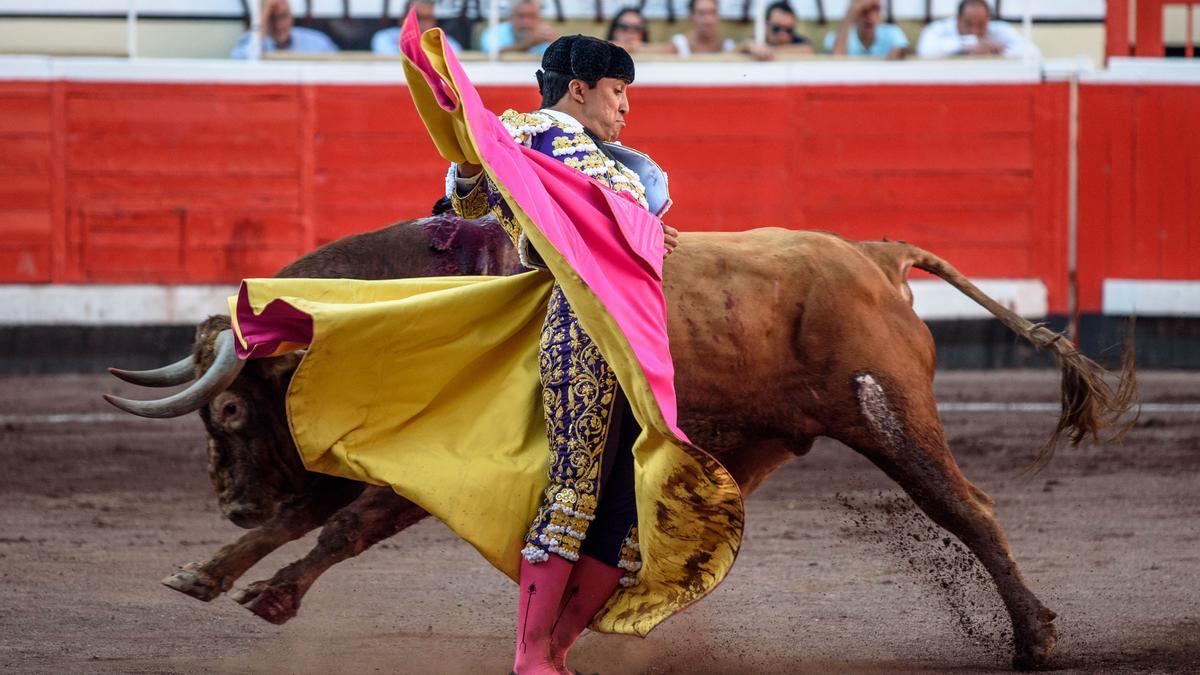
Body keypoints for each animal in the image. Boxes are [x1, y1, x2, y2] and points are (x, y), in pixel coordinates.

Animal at [105, 213, 1132, 667]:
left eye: (231, 410)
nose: (233, 499)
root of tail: (873, 256)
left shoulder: (426, 462)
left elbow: (345, 523)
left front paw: (272, 595)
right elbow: (315, 513)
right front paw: (207, 572)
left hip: (889, 416)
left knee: (969, 506)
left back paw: (1036, 635)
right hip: (781, 431)